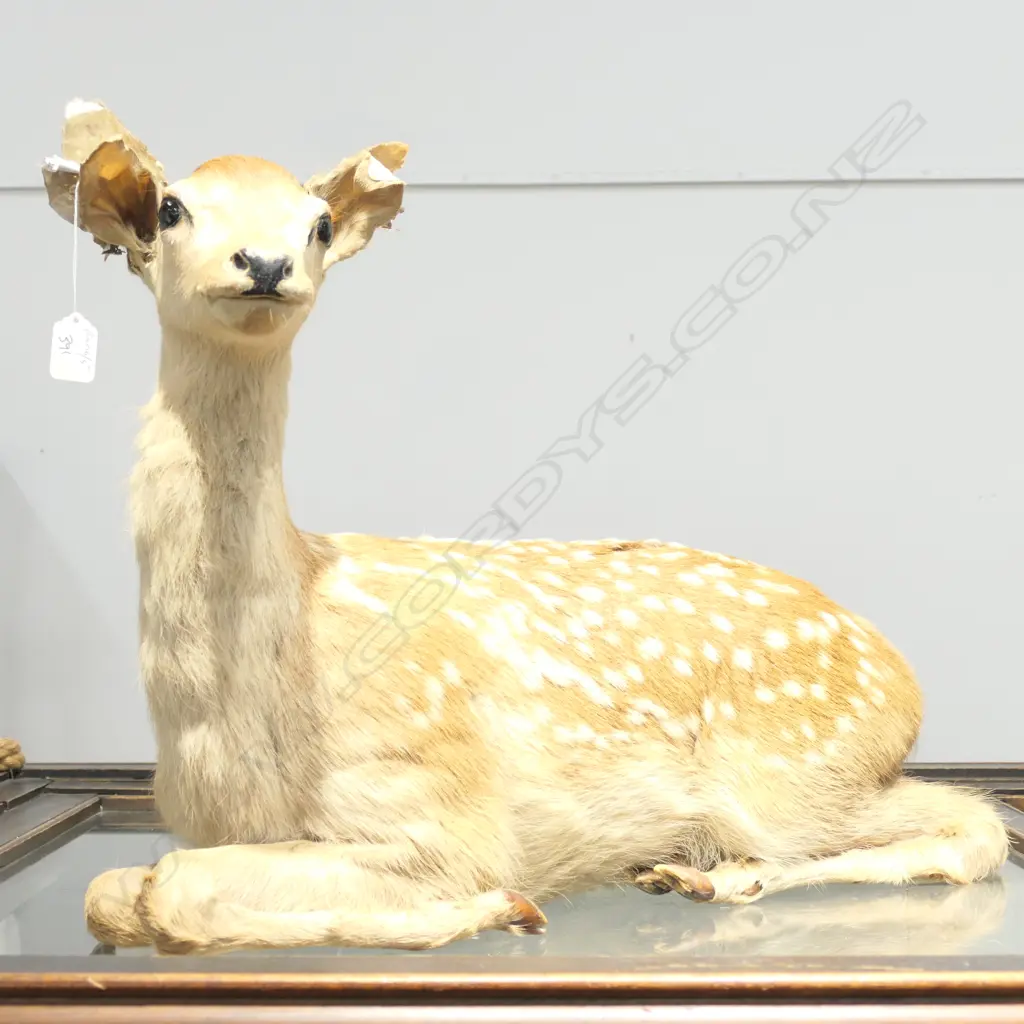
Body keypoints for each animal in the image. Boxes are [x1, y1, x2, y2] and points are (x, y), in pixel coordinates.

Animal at [41, 99, 1009, 956]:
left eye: (317, 223)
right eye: (173, 207)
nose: (267, 262)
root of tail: (901, 678)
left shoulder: (433, 800)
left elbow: (172, 888)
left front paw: (498, 908)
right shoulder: (197, 823)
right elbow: (115, 890)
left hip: (798, 773)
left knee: (978, 823)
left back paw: (710, 876)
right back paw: (682, 871)